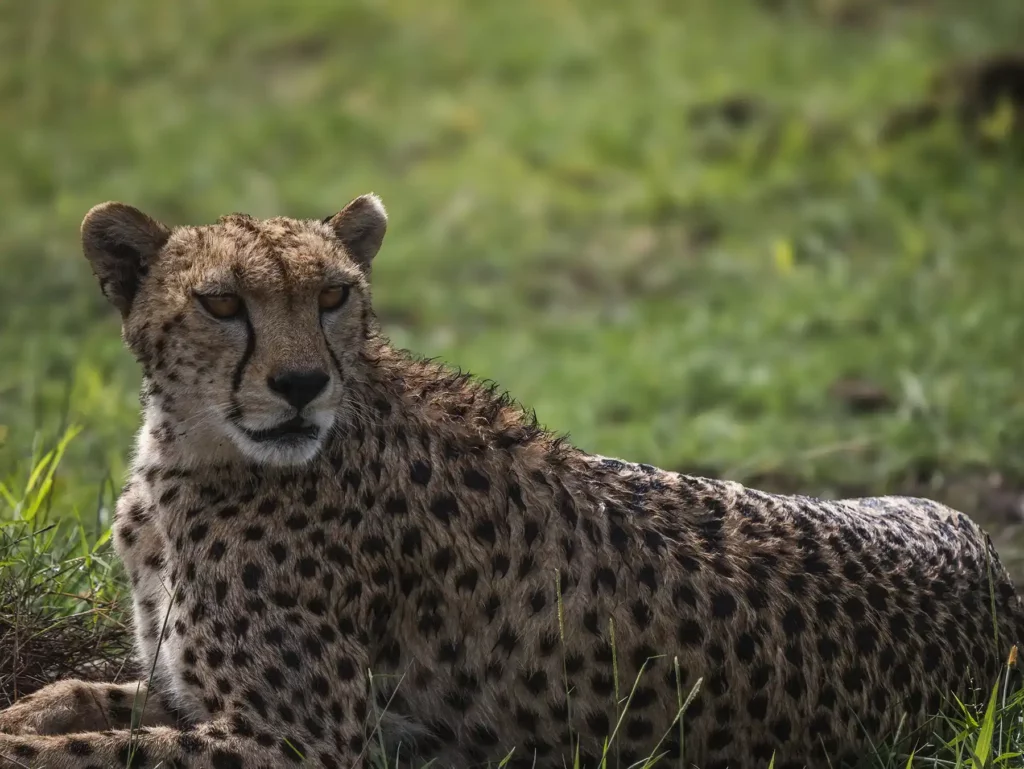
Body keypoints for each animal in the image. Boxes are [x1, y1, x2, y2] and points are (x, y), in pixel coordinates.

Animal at [1, 193, 1022, 769]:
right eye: (221, 302)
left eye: (333, 294)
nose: (299, 384)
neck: (191, 455)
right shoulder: (200, 696)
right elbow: (90, 697)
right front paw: (30, 707)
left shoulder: (300, 741)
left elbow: (99, 749)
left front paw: (22, 740)